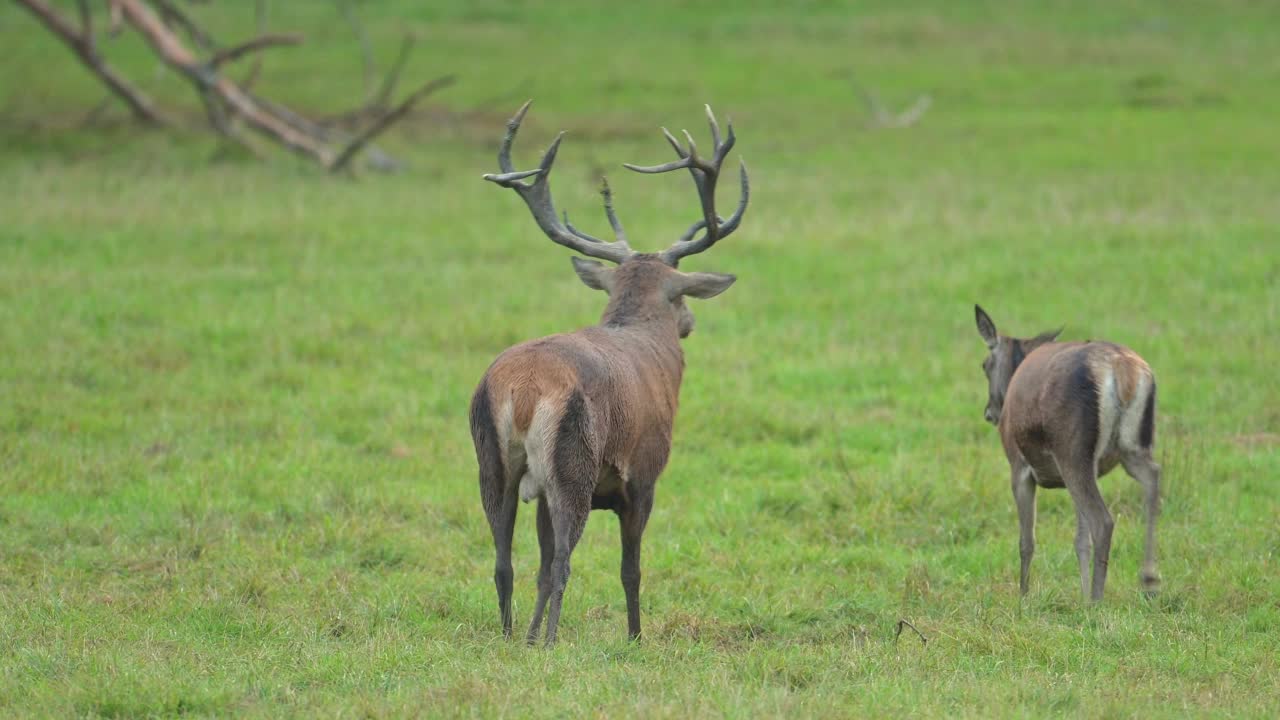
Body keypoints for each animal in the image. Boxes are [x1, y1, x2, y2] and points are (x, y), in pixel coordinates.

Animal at [471, 101, 747, 645]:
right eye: (680, 294)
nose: (689, 322)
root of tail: (524, 388)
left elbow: (536, 566)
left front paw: (530, 635)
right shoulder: (644, 474)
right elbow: (630, 568)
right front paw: (636, 636)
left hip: (493, 459)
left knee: (504, 561)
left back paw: (514, 637)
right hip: (572, 460)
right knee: (562, 563)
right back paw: (550, 641)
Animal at [972, 302, 1167, 599]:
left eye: (985, 365)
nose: (989, 413)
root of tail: (1122, 369)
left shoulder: (1019, 467)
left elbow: (1026, 540)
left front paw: (1023, 596)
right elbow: (1080, 540)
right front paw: (1081, 595)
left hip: (1072, 451)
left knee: (1103, 521)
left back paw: (1099, 599)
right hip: (1130, 448)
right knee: (1152, 478)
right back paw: (1149, 580)